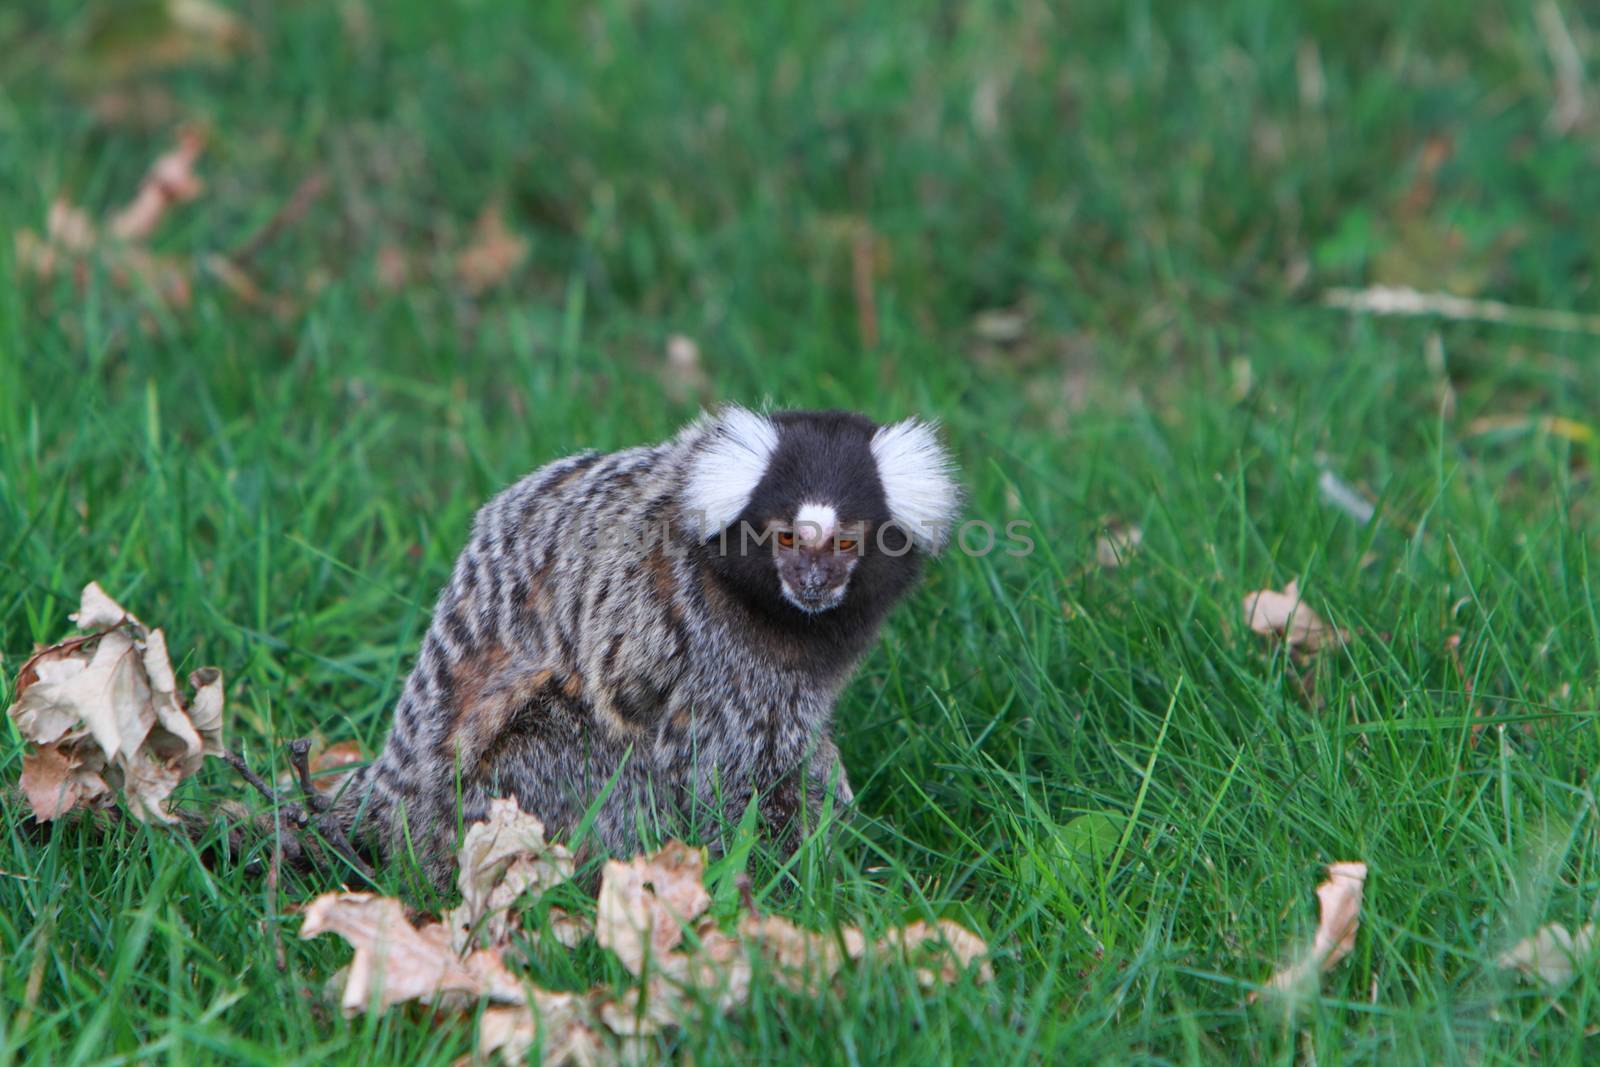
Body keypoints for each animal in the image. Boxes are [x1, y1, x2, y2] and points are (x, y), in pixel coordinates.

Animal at [337, 404, 953, 883]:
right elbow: (724, 773)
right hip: (491, 793)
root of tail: (395, 789)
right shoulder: (713, 647)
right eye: (785, 538)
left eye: (844, 543)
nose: (812, 579)